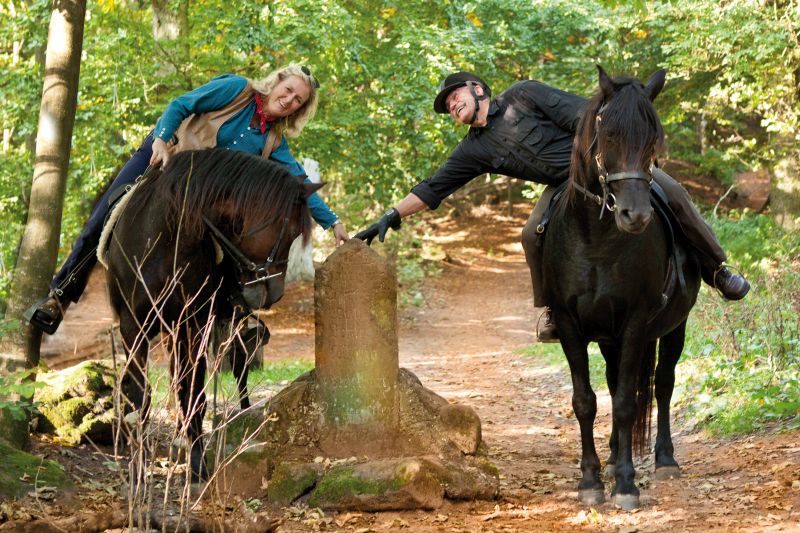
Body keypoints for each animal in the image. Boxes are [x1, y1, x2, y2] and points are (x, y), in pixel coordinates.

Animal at [105, 148, 318, 480]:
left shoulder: (194, 325)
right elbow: (138, 395)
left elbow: (193, 392)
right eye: (289, 232)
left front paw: (197, 462)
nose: (274, 292)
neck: (167, 243)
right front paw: (138, 465)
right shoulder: (133, 326)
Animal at [536, 68, 700, 510]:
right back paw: (610, 460)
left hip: (673, 328)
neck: (596, 240)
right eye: (607, 133)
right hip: (609, 339)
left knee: (662, 383)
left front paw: (626, 484)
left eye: (653, 138)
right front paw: (591, 481)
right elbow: (586, 400)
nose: (635, 215)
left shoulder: (636, 323)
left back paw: (664, 460)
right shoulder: (571, 326)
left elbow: (628, 401)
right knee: (612, 383)